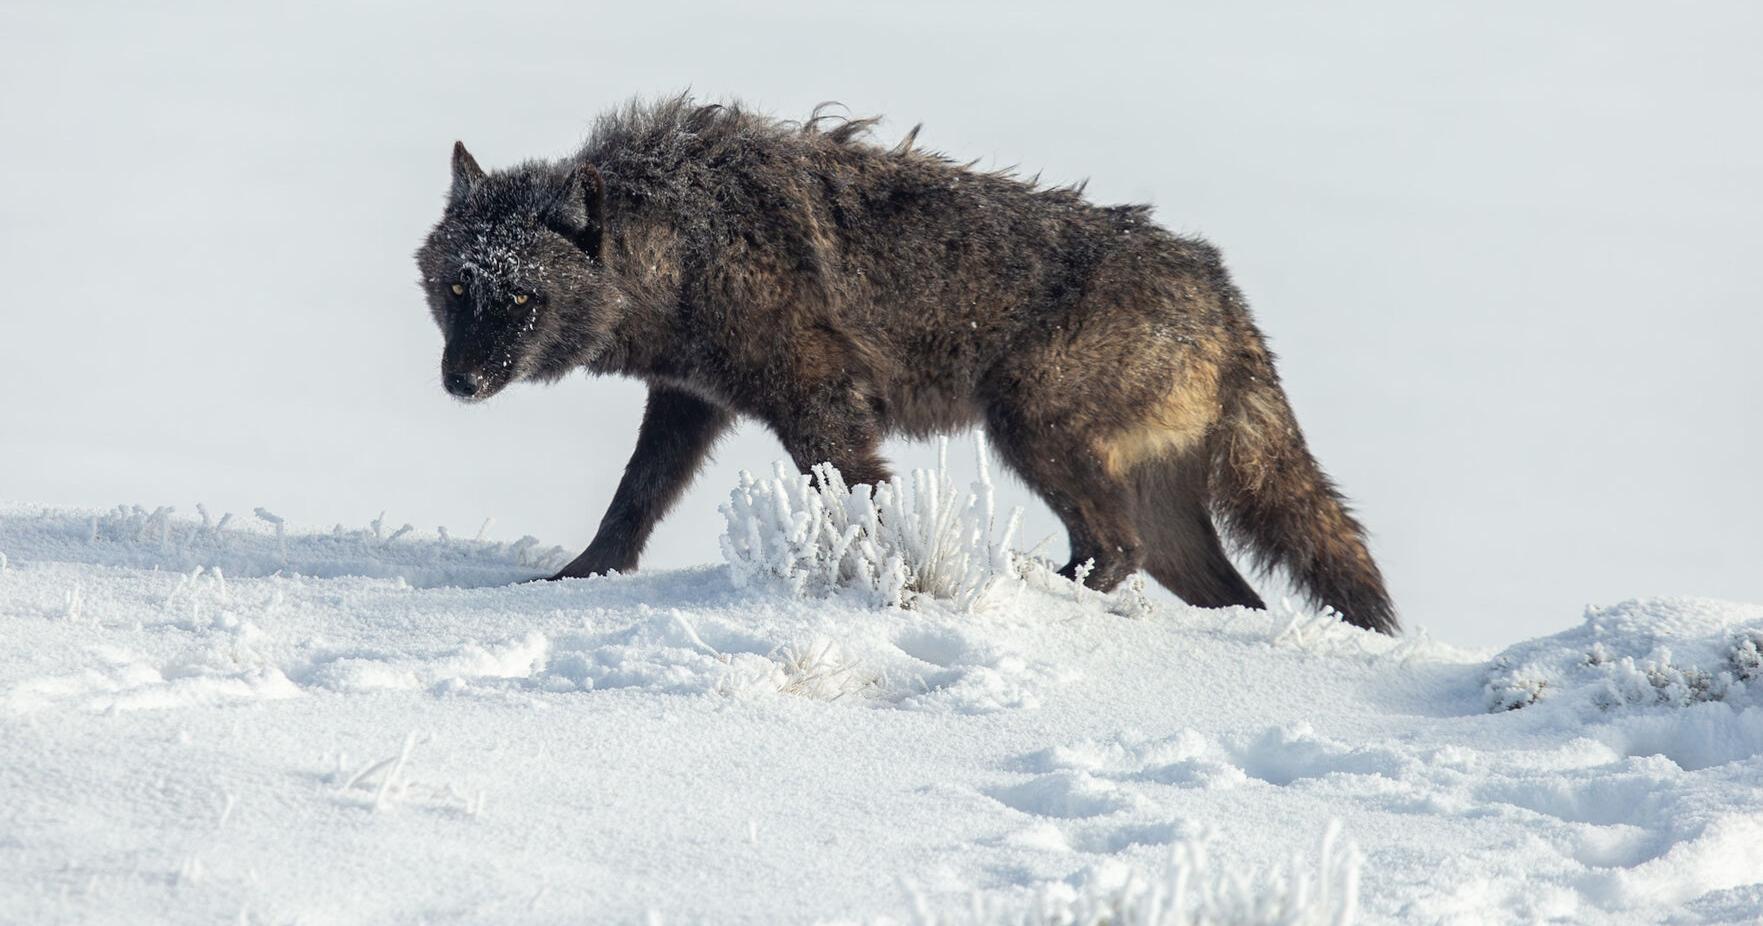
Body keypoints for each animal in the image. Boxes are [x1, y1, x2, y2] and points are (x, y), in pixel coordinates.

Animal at [415, 95, 1398, 633]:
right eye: (459, 287)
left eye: (520, 299)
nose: (460, 381)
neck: (686, 247)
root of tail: (1224, 295)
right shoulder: (687, 402)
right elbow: (632, 501)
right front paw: (571, 582)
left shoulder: (819, 406)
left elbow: (864, 505)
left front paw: (903, 590)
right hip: (1159, 512)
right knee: (1231, 596)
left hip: (1028, 426)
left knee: (1109, 549)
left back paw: (1017, 585)